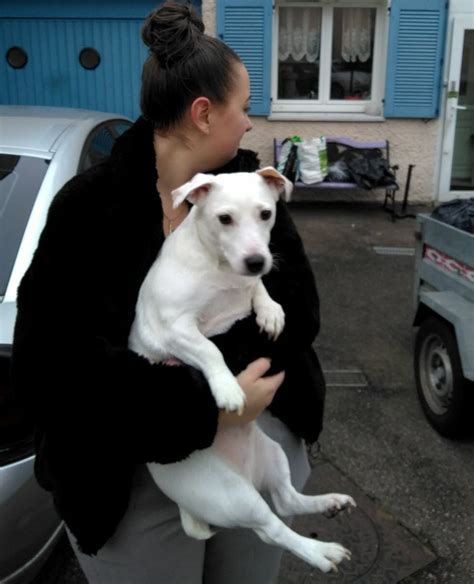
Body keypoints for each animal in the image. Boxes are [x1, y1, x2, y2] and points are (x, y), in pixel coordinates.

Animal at [128, 167, 354, 572]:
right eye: (224, 219)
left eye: (266, 214)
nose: (256, 260)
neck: (220, 270)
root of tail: (246, 473)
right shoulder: (174, 328)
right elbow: (210, 350)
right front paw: (228, 388)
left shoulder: (245, 285)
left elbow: (259, 289)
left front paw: (271, 311)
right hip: (233, 495)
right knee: (272, 529)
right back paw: (319, 552)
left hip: (273, 455)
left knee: (287, 500)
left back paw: (329, 503)